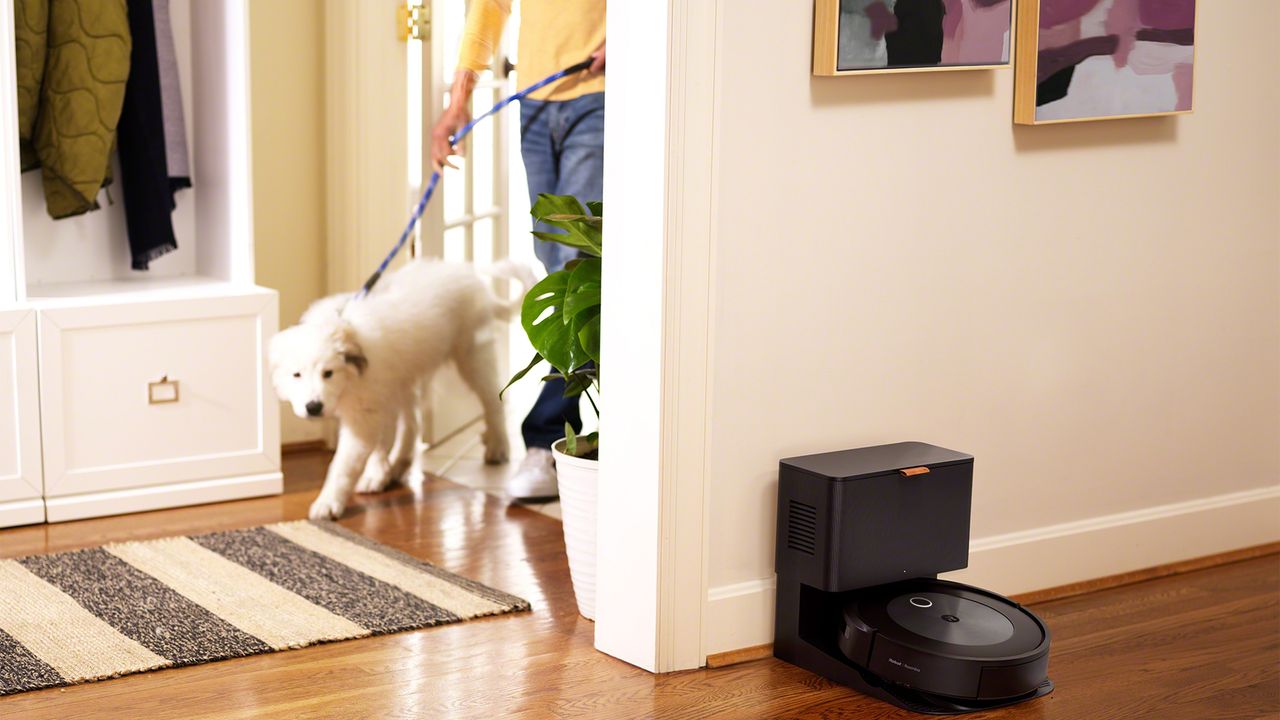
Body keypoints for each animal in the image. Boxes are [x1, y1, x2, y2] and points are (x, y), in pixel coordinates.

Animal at [267, 260, 532, 517]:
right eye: (296, 375)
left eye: (328, 373)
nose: (313, 407)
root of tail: (469, 277)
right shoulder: (376, 399)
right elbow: (378, 443)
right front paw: (378, 474)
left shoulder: (366, 410)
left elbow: (344, 464)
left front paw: (328, 503)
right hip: (405, 378)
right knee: (412, 423)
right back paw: (398, 464)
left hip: (472, 357)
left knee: (492, 400)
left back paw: (498, 446)